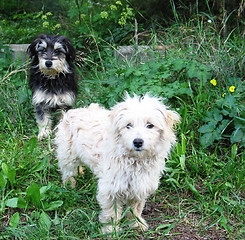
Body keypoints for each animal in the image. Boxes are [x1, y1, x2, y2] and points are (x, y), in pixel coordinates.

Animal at [54, 93, 180, 232]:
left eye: (150, 125)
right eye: (128, 125)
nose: (137, 142)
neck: (135, 160)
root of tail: (75, 110)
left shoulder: (140, 187)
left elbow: (135, 209)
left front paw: (136, 224)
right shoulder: (110, 190)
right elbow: (111, 214)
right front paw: (110, 230)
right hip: (68, 156)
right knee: (68, 173)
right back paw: (70, 187)